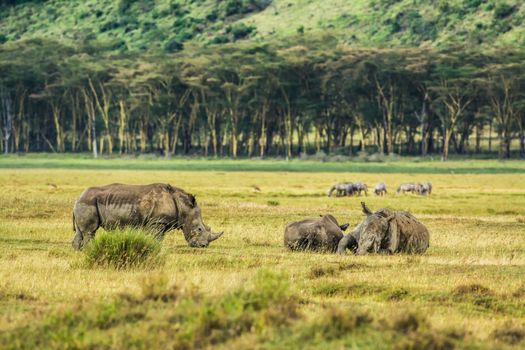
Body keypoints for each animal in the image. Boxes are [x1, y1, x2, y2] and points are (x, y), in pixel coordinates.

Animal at [71, 183, 221, 249]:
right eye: (199, 229)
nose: (203, 246)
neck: (183, 206)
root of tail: (78, 197)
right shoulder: (158, 221)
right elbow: (157, 237)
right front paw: (156, 249)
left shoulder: (160, 222)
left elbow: (158, 237)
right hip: (88, 202)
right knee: (90, 231)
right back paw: (89, 250)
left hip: (85, 202)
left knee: (80, 232)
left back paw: (78, 251)